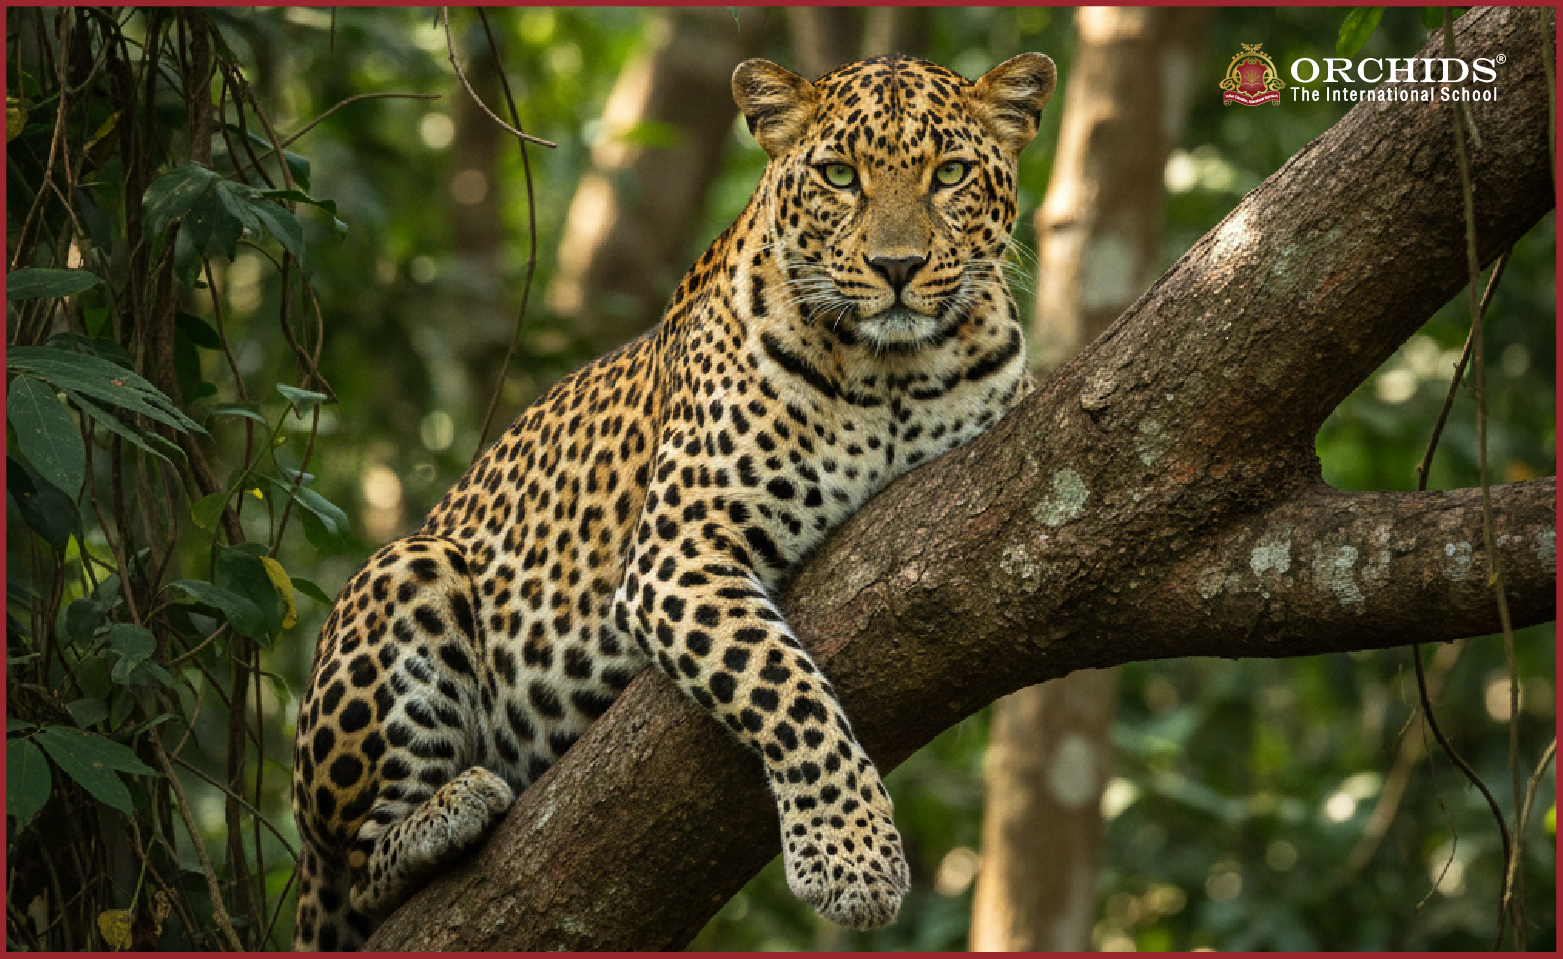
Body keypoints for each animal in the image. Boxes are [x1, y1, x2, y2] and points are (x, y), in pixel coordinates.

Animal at [290, 51, 1056, 950]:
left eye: (950, 174)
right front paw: (851, 858)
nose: (896, 268)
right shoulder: (677, 552)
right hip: (411, 569)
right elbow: (787, 689)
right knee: (361, 866)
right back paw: (451, 808)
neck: (895, 371)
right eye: (839, 175)